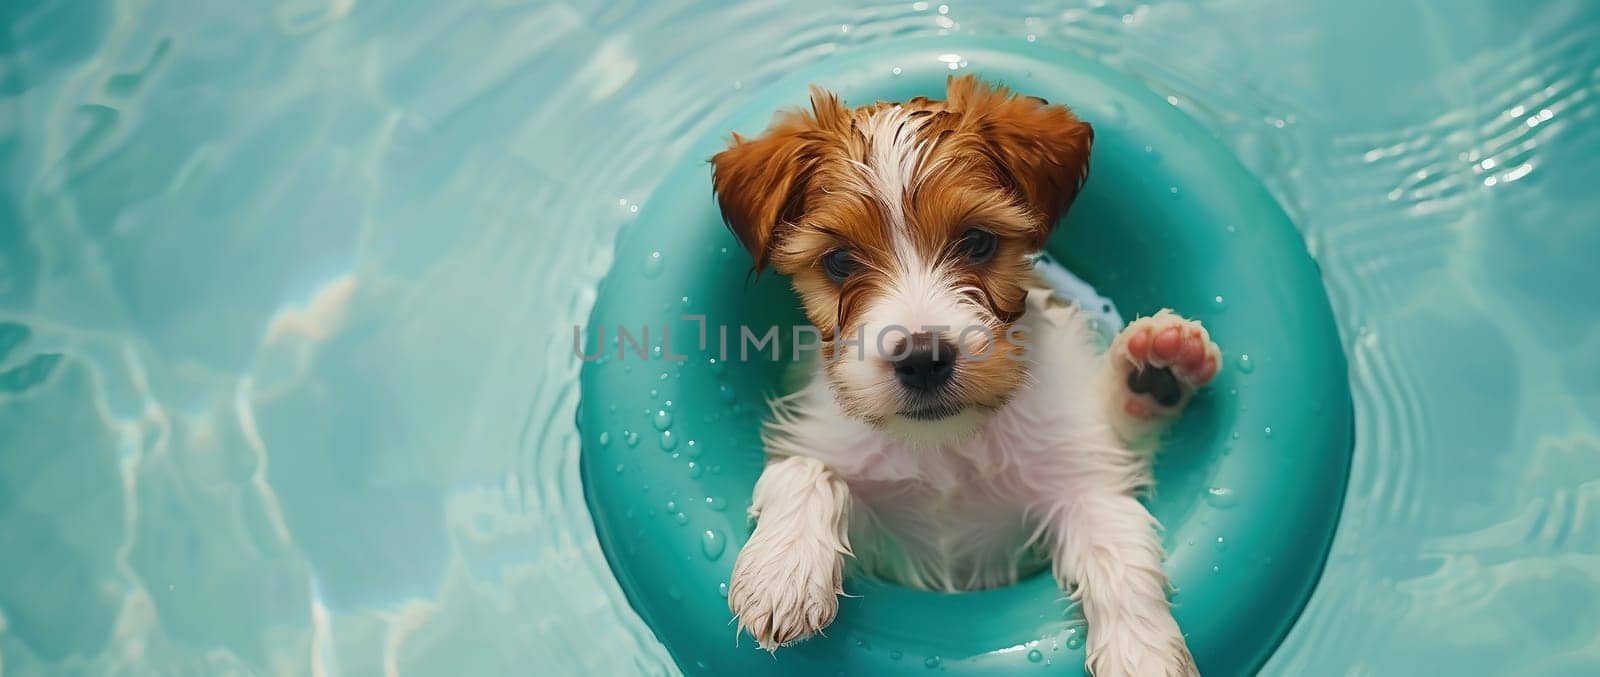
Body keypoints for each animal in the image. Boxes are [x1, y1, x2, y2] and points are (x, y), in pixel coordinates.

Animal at [710, 75, 1209, 677]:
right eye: (839, 262)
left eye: (976, 241)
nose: (923, 358)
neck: (946, 448)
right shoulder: (873, 522)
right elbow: (806, 469)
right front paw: (782, 570)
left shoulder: (1076, 481)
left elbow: (1118, 546)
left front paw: (1143, 650)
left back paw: (1155, 371)